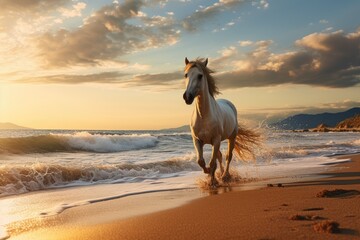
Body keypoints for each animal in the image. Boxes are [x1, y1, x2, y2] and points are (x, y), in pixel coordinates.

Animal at [183, 57, 258, 187]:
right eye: (186, 75)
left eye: (200, 76)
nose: (187, 97)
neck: (204, 116)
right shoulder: (197, 140)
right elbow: (201, 161)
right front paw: (209, 175)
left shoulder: (216, 139)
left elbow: (212, 163)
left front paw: (212, 181)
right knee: (220, 156)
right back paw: (220, 174)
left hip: (231, 137)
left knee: (228, 156)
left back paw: (225, 176)